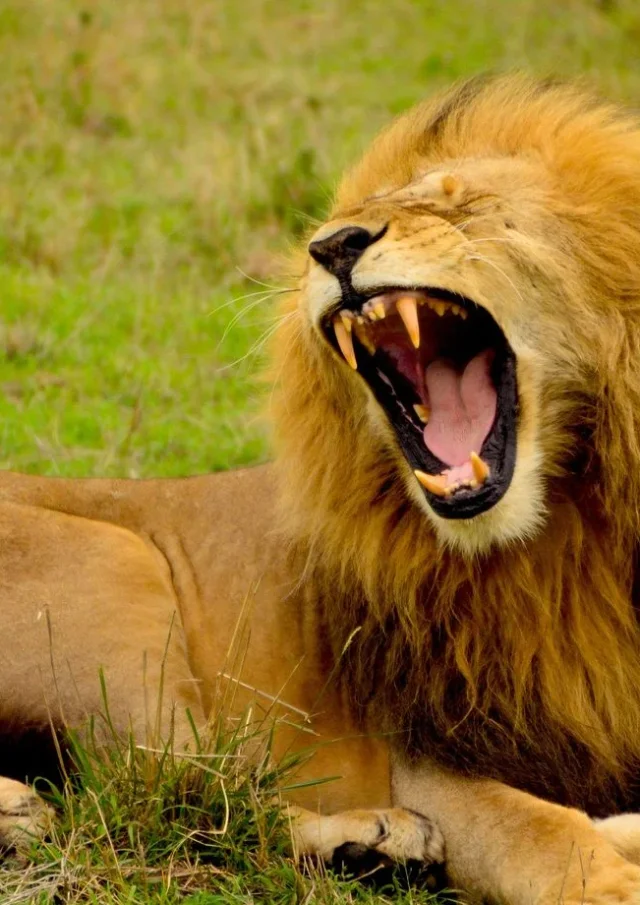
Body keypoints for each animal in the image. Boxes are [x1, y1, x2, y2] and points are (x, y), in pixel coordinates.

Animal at [3, 73, 640, 903]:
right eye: (337, 225)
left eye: (458, 202)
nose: (333, 247)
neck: (566, 525)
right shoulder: (426, 756)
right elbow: (540, 836)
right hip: (118, 572)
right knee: (174, 794)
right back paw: (373, 841)